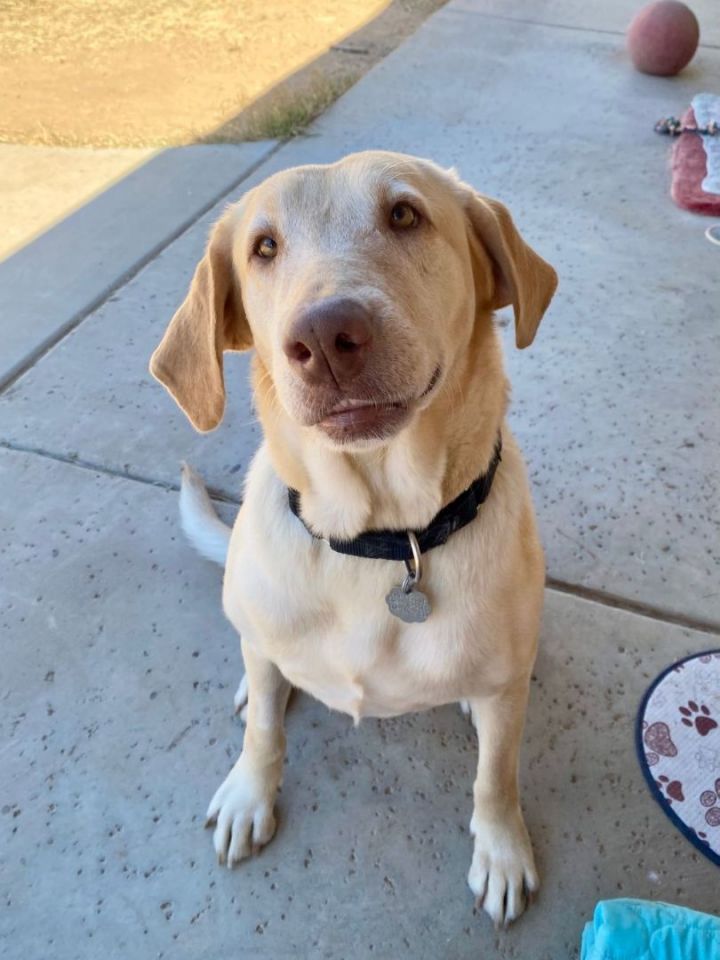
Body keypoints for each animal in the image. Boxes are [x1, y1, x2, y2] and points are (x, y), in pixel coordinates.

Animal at [150, 152, 556, 928]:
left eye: (404, 214)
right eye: (263, 247)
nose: (325, 338)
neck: (383, 538)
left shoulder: (504, 695)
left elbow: (497, 776)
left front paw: (501, 847)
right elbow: (264, 732)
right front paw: (251, 790)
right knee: (259, 667)